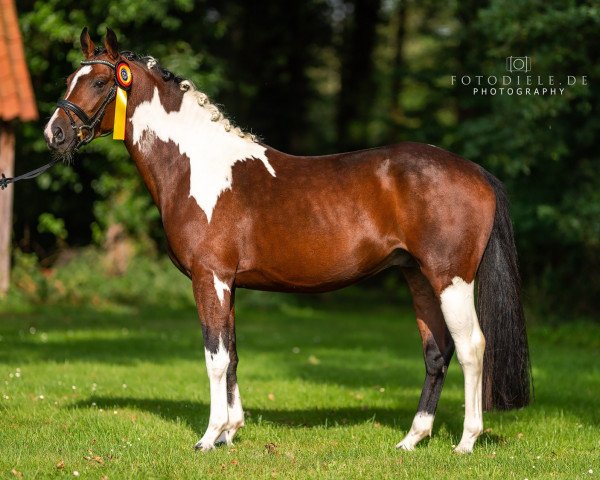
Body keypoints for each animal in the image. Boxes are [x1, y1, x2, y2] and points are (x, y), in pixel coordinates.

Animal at [42, 30, 532, 454]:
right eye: (69, 80)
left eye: (101, 81)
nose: (54, 134)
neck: (195, 166)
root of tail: (475, 171)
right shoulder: (228, 283)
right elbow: (232, 354)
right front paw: (230, 433)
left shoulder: (209, 277)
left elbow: (215, 357)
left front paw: (209, 437)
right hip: (419, 278)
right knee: (436, 352)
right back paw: (412, 440)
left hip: (451, 279)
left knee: (471, 349)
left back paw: (466, 442)